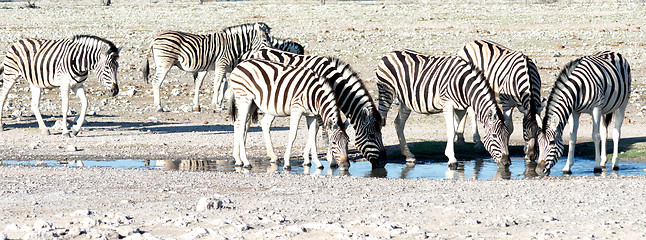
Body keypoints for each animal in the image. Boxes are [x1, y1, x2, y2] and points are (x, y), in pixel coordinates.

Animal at [140, 22, 272, 112]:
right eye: (265, 40)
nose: (271, 50)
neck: (233, 45)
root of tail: (155, 38)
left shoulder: (214, 67)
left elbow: (210, 84)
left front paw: (200, 105)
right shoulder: (221, 64)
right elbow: (218, 84)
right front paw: (215, 104)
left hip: (161, 63)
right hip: (165, 63)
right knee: (156, 82)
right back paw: (158, 106)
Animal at [251, 47, 388, 169]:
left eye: (381, 134)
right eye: (371, 136)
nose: (384, 162)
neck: (334, 82)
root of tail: (258, 51)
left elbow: (315, 130)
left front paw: (307, 158)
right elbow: (323, 131)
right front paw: (331, 159)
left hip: (273, 105)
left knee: (265, 123)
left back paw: (273, 156)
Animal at [374, 49, 512, 168]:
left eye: (507, 135)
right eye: (494, 136)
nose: (507, 163)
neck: (464, 86)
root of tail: (390, 53)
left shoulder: (460, 108)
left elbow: (455, 130)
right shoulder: (448, 104)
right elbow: (451, 131)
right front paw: (452, 159)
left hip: (406, 101)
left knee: (399, 123)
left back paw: (409, 156)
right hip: (386, 92)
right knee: (380, 120)